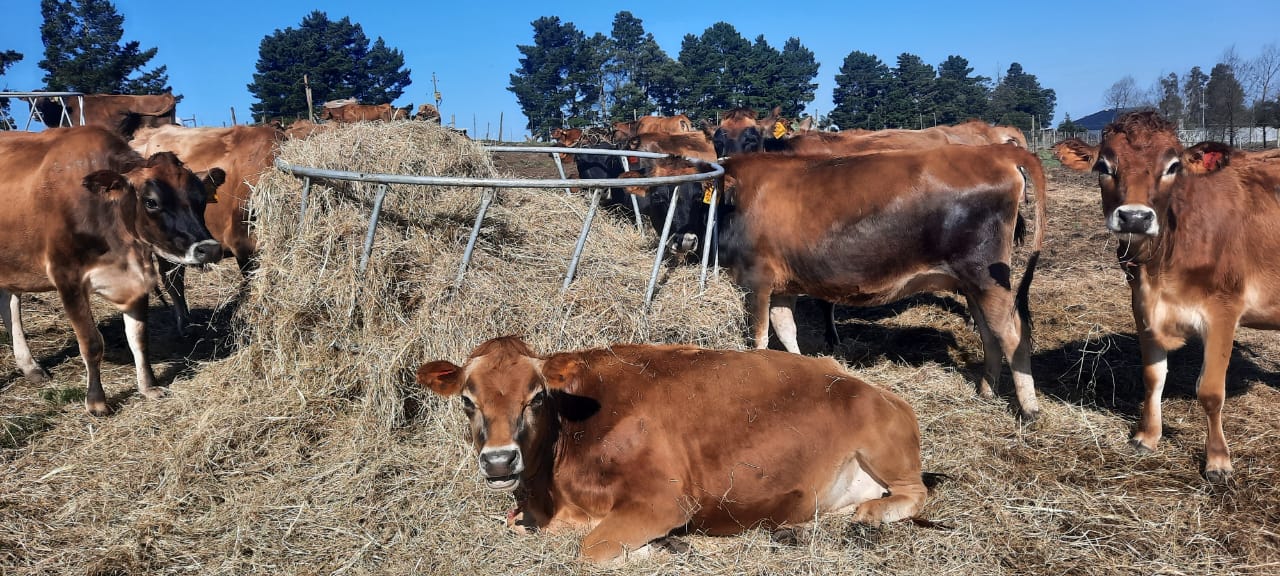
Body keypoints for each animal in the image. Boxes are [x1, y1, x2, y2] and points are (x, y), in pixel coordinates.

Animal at [0, 126, 223, 415]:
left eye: (201, 198)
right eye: (151, 202)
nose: (210, 249)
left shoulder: (139, 275)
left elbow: (139, 337)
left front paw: (148, 387)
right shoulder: (67, 277)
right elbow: (91, 342)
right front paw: (96, 401)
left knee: (9, 303)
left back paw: (31, 367)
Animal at [418, 336, 927, 564]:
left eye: (536, 397)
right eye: (467, 401)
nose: (499, 459)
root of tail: (872, 386)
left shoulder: (663, 499)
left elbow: (591, 547)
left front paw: (662, 548)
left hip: (883, 444)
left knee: (915, 492)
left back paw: (870, 515)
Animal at [1054, 111, 1280, 482]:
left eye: (1173, 166)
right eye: (1104, 166)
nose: (1134, 217)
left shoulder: (1223, 310)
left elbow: (1210, 391)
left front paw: (1217, 460)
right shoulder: (1142, 306)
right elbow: (1153, 377)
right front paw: (1147, 436)